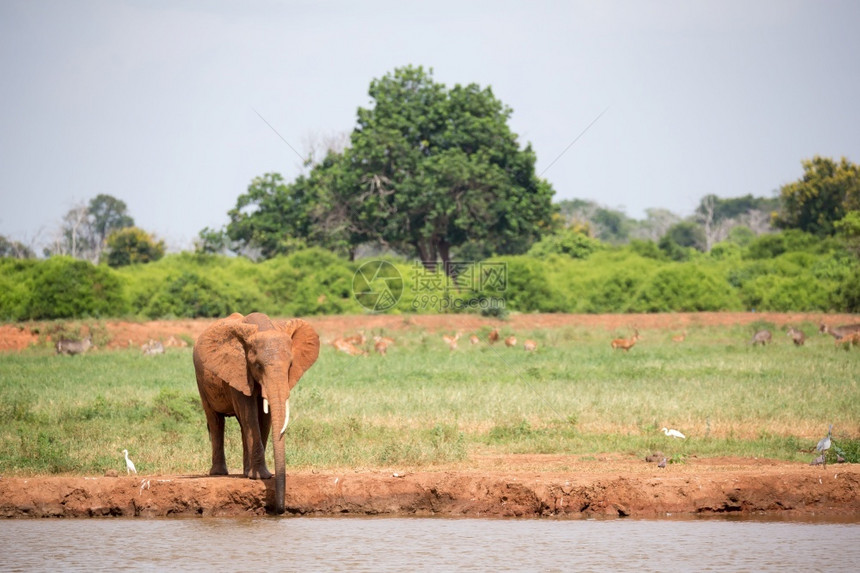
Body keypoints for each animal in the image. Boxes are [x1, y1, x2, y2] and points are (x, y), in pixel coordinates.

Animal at [191, 312, 320, 512]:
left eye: (290, 365)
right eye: (258, 366)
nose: (280, 509)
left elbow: (264, 417)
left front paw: (259, 476)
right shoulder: (238, 369)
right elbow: (249, 413)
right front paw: (261, 477)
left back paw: (245, 472)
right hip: (201, 380)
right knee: (215, 420)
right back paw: (219, 473)